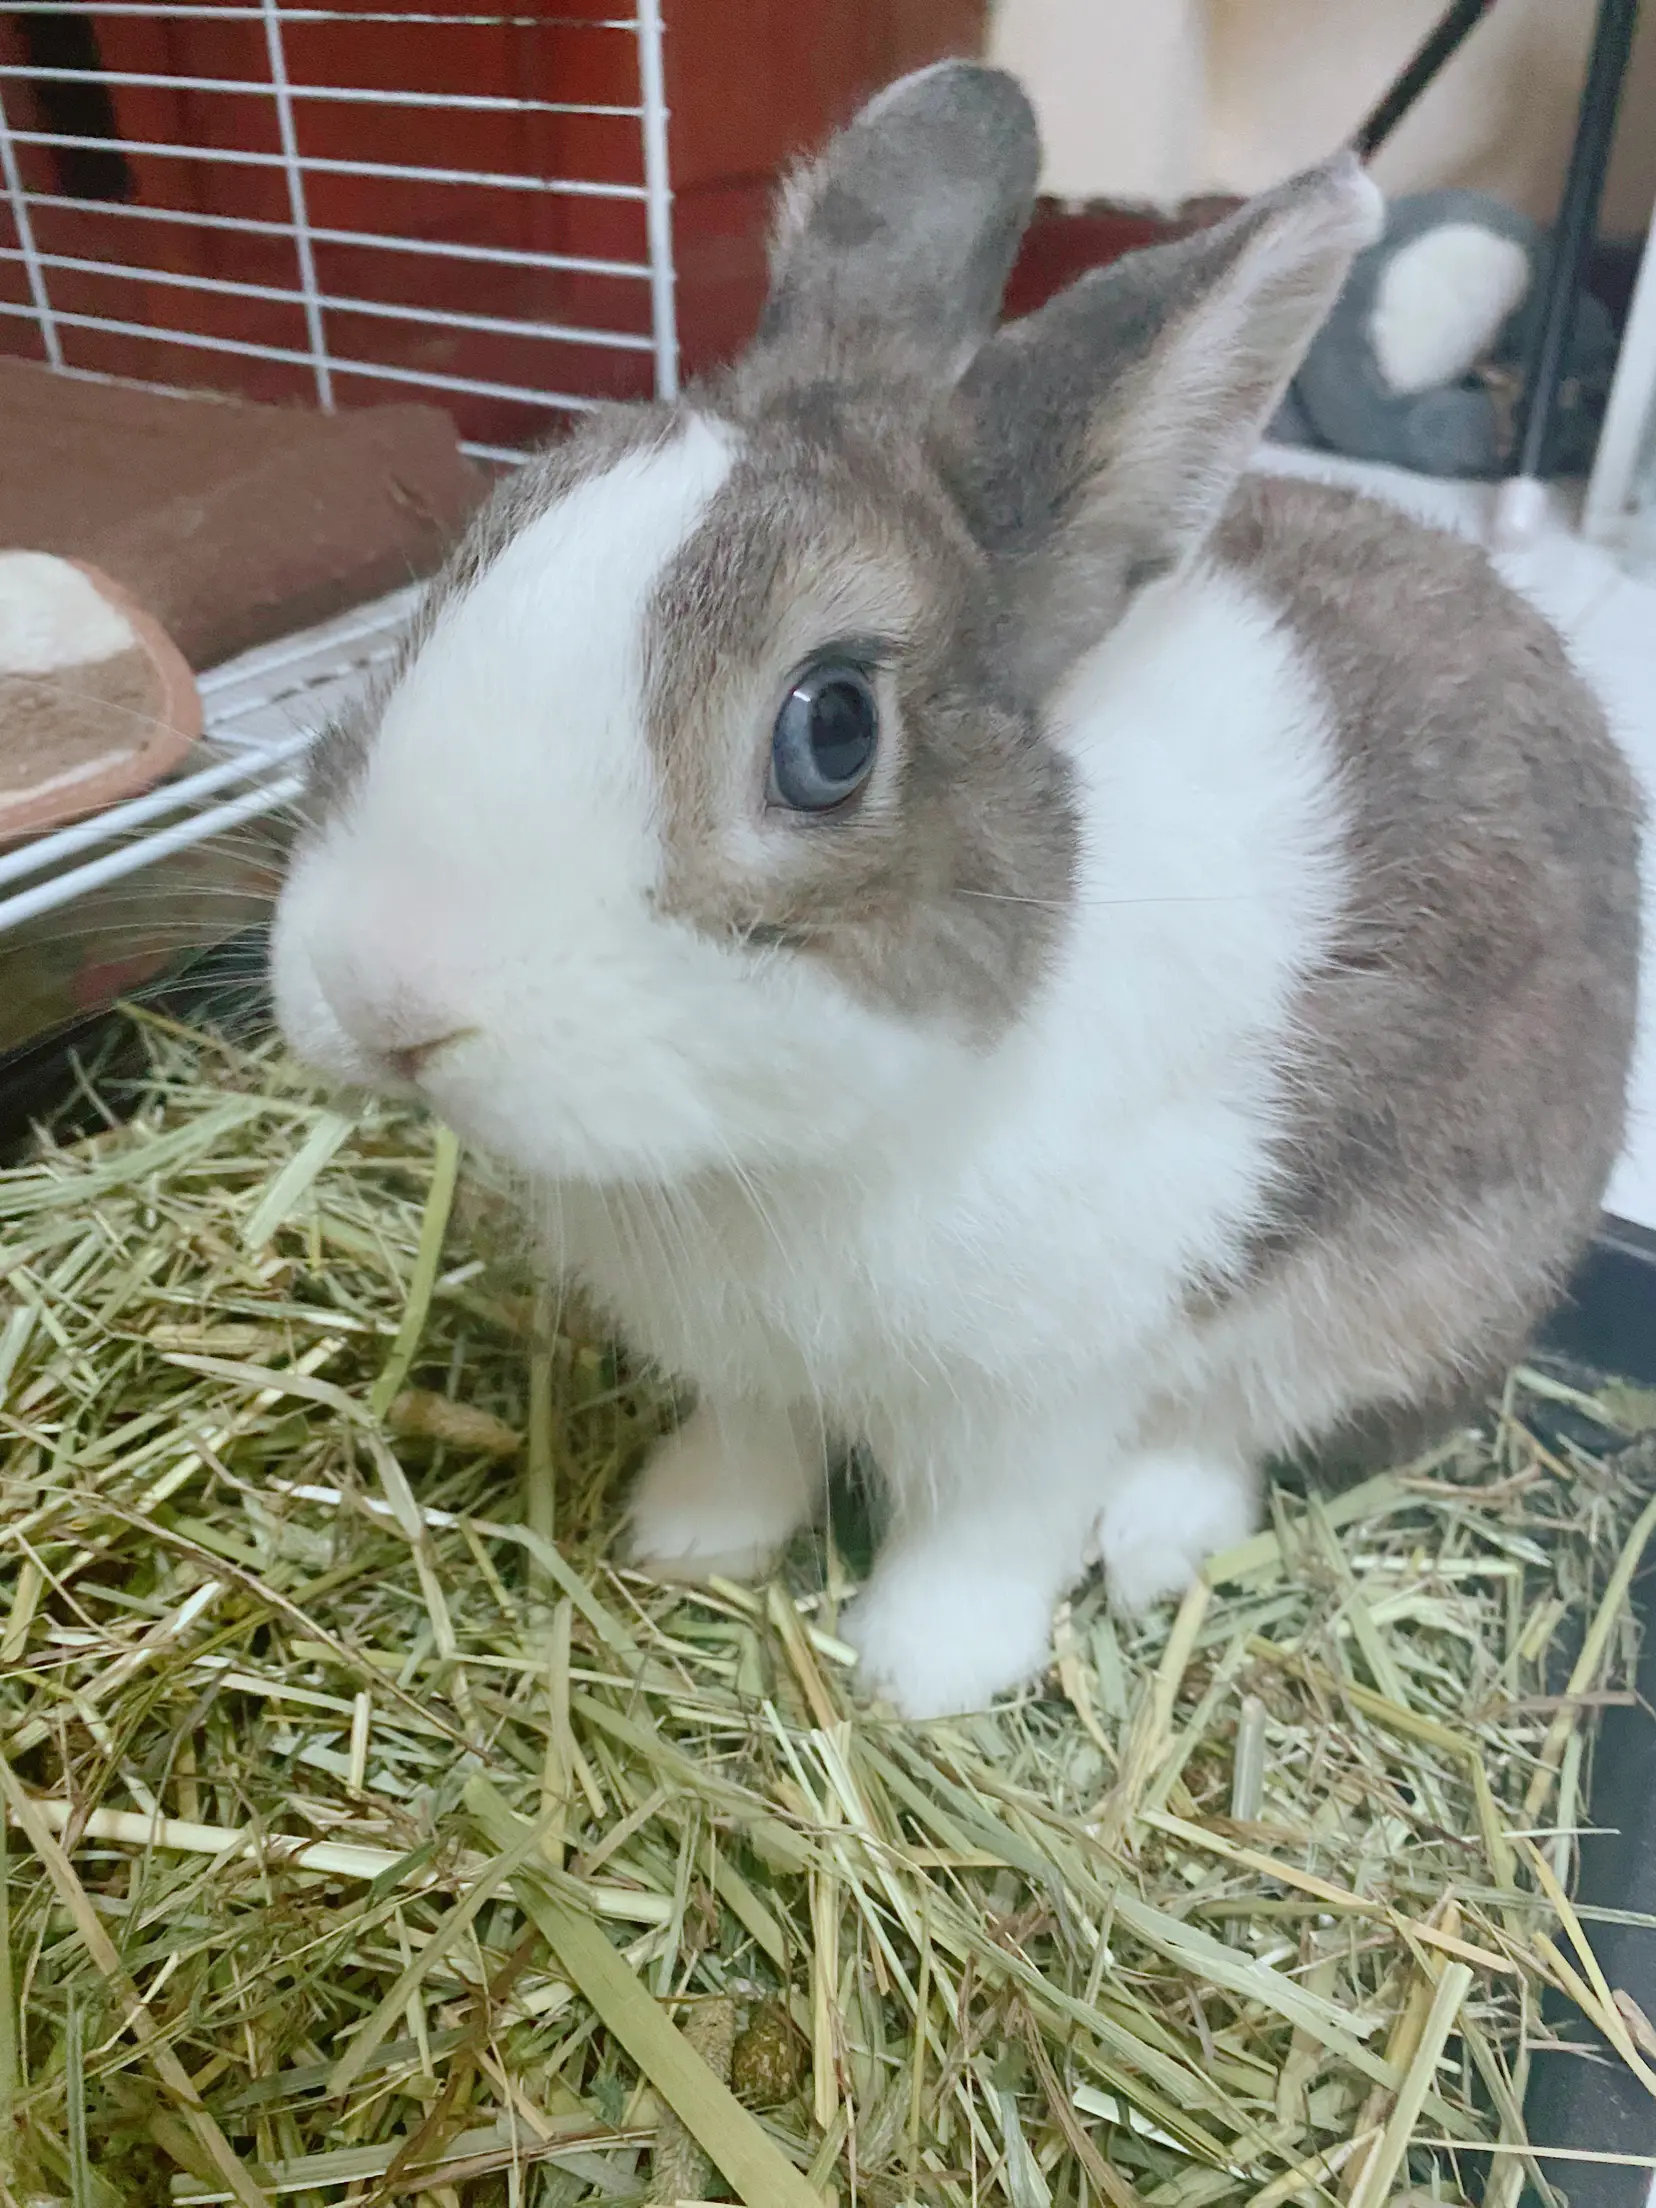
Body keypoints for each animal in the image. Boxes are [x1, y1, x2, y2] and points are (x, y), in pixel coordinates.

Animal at [266, 56, 1642, 1722]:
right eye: (477, 546)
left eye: (832, 732)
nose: (382, 993)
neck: (779, 1151)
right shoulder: (753, 1367)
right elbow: (751, 1443)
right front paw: (690, 1541)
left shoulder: (1050, 1384)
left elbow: (996, 1524)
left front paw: (920, 1671)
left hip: (1410, 1281)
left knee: (1236, 1426)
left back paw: (1157, 1541)